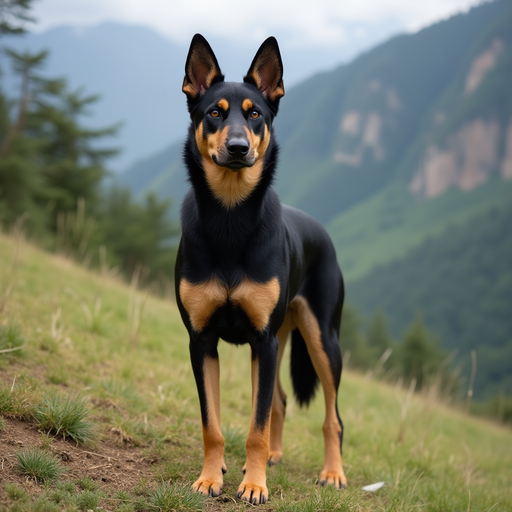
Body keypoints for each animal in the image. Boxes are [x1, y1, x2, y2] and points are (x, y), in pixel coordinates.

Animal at [176, 35, 348, 504]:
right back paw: (273, 456)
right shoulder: (202, 341)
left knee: (332, 417)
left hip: (322, 340)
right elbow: (212, 424)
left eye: (255, 115)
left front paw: (253, 486)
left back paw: (332, 473)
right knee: (281, 403)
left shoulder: (264, 342)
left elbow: (255, 425)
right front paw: (210, 477)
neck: (231, 219)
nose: (238, 147)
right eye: (214, 113)